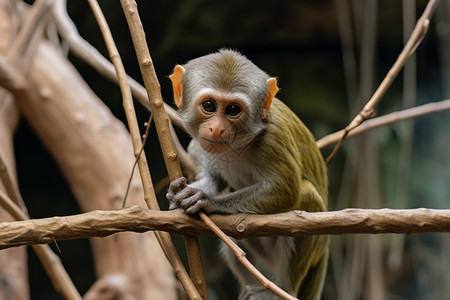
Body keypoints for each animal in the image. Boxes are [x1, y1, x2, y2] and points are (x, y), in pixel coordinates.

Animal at [167, 49, 328, 300]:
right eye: (209, 106)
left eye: (233, 110)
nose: (216, 129)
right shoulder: (202, 146)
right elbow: (215, 179)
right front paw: (186, 193)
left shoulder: (272, 139)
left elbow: (285, 190)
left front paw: (208, 201)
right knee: (233, 240)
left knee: (306, 197)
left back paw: (280, 291)